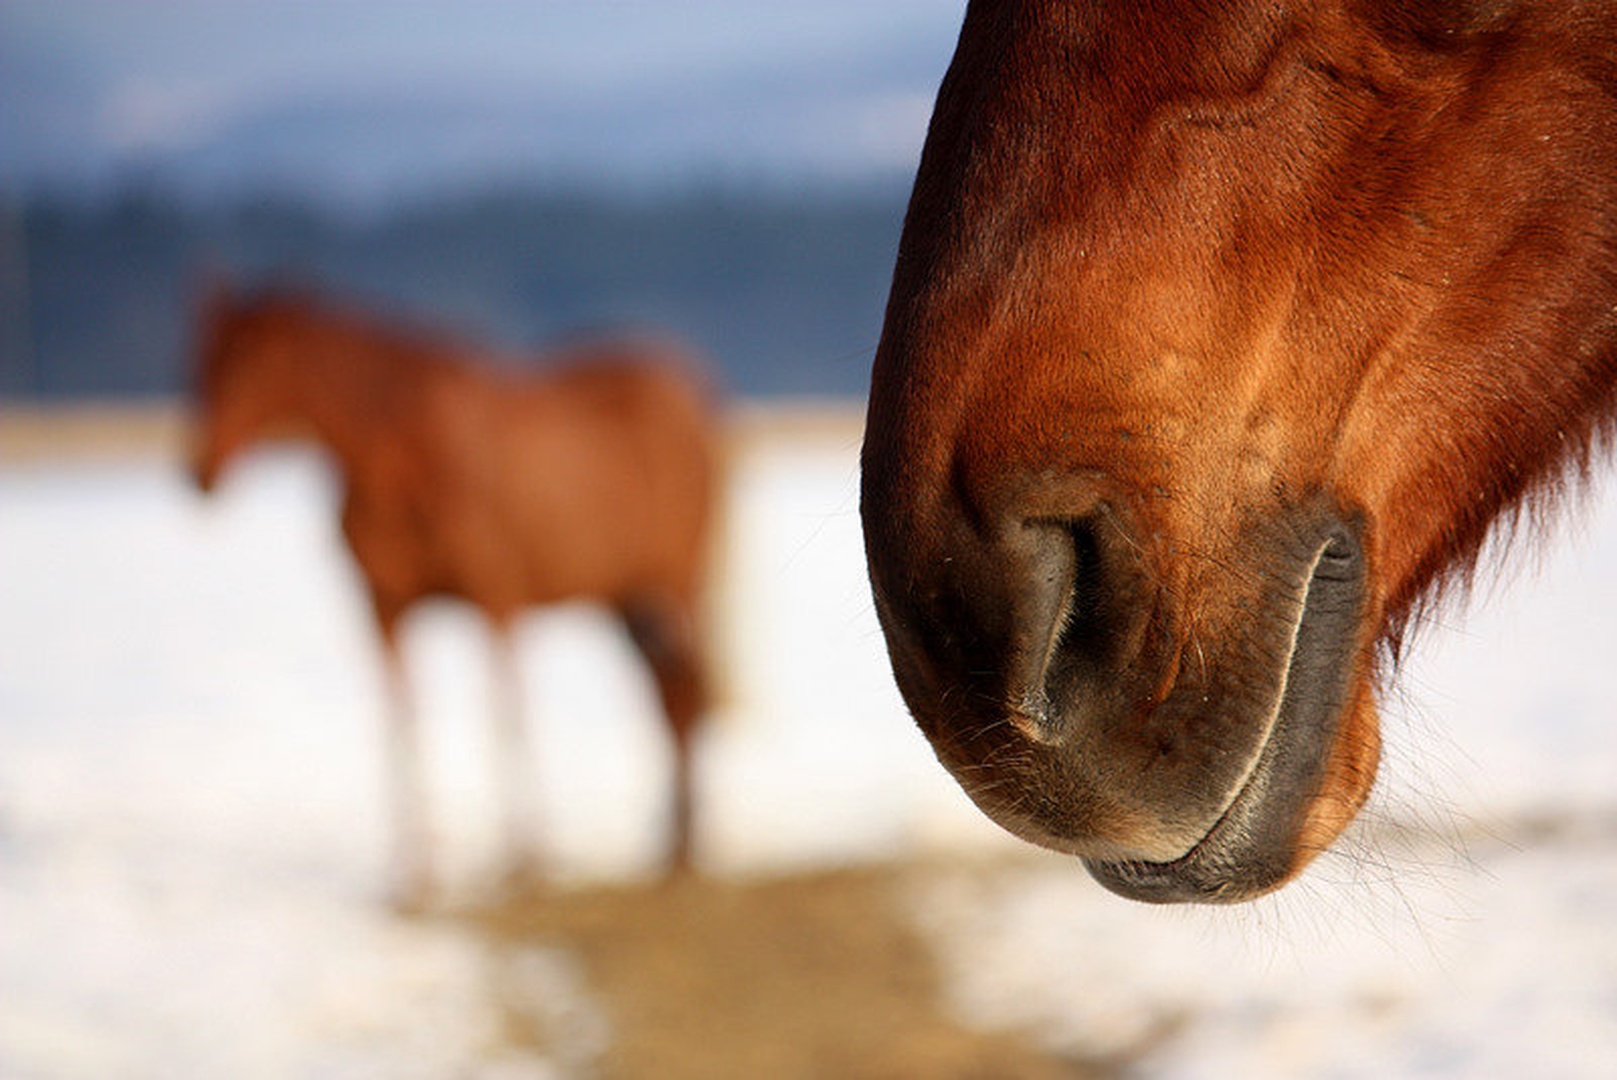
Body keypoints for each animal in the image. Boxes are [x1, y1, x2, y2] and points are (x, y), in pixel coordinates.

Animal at [192, 283, 720, 907]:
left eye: (254, 362)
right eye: (201, 360)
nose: (199, 470)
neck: (400, 459)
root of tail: (686, 389)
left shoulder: (495, 601)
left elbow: (504, 712)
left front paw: (525, 860)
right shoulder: (384, 610)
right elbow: (404, 720)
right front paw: (414, 876)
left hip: (679, 583)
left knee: (684, 692)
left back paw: (686, 849)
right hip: (626, 599)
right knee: (667, 692)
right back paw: (670, 845)